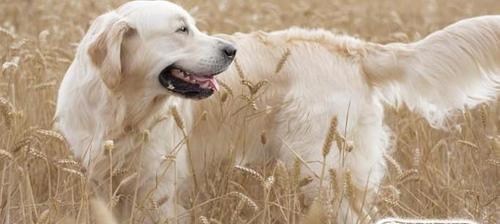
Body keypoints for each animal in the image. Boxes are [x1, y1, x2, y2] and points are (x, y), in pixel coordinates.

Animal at [54, 0, 500, 222]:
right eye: (181, 30)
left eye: (192, 26)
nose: (231, 49)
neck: (121, 110)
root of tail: (350, 48)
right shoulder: (102, 180)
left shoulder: (158, 187)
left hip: (320, 168)